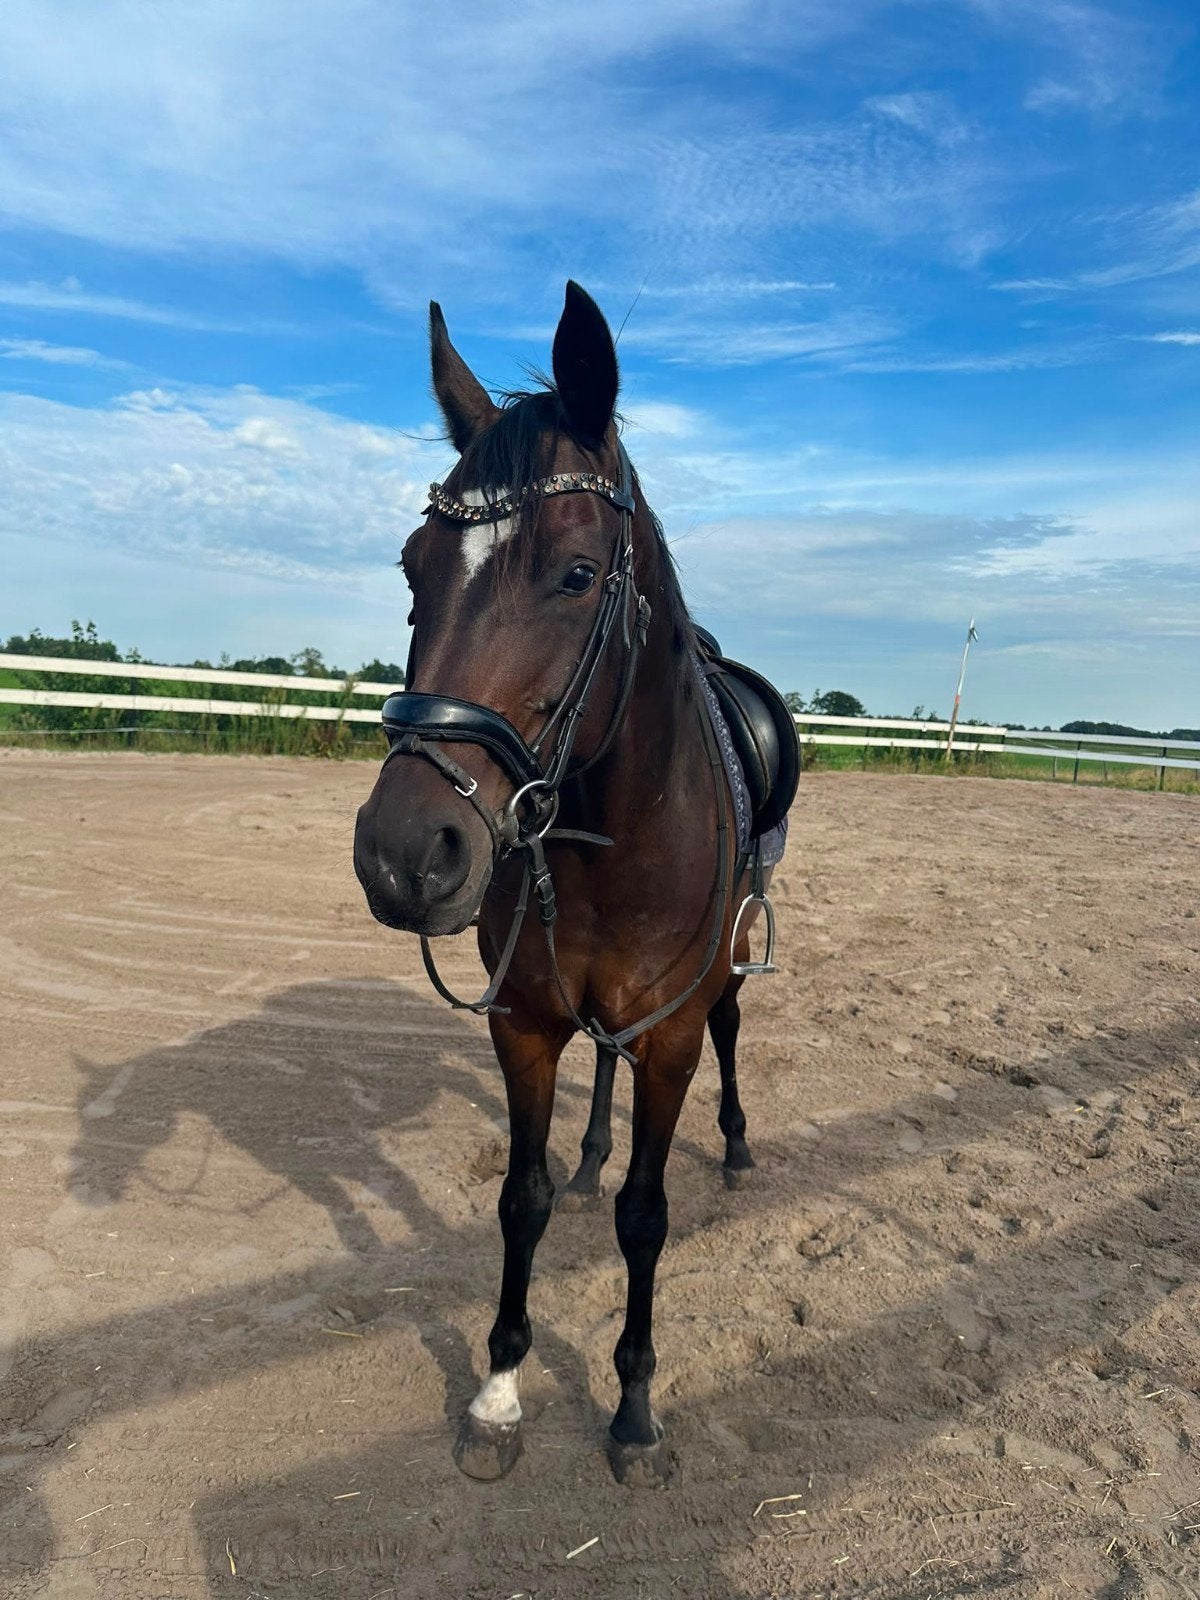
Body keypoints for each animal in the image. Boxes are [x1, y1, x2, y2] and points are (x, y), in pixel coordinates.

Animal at [353, 282, 795, 1487]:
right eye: (413, 568)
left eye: (579, 574)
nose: (403, 852)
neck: (609, 840)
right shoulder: (527, 1023)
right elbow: (525, 1197)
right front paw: (500, 1389)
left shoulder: (673, 1032)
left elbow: (647, 1217)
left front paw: (633, 1406)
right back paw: (596, 1149)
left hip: (723, 975)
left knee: (733, 1035)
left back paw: (736, 1144)